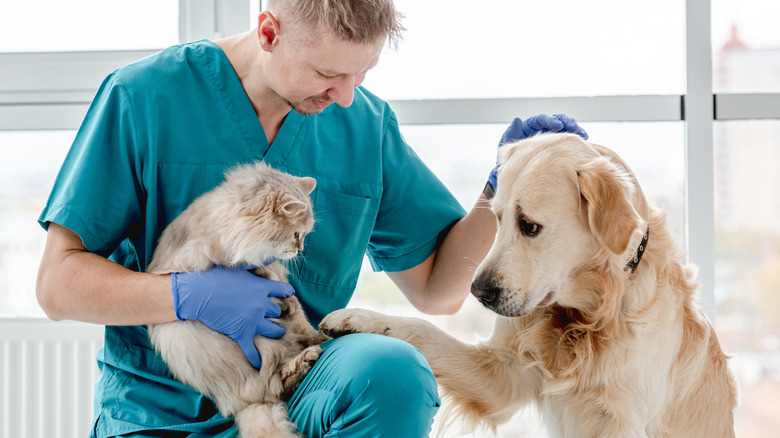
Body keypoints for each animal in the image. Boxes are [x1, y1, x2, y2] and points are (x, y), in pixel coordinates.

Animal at [148, 163, 328, 438]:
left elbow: (292, 305)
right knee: (269, 385)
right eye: (297, 234)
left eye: (304, 236)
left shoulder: (277, 276)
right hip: (246, 344)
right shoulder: (198, 258)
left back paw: (319, 345)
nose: (299, 250)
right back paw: (301, 363)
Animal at [322, 134, 736, 438]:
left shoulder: (622, 419)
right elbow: (421, 328)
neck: (587, 318)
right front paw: (359, 317)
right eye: (498, 218)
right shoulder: (501, 375)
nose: (479, 292)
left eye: (529, 225)